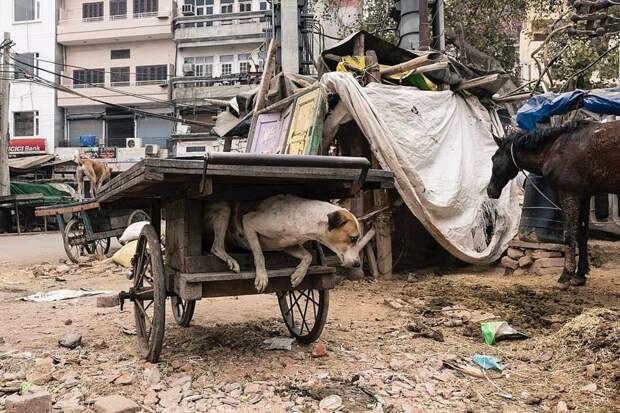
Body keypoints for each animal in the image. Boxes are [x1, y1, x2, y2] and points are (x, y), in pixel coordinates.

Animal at [486, 119, 620, 286]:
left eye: (494, 158)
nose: (490, 190)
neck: (557, 147)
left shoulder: (569, 194)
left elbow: (569, 235)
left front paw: (566, 275)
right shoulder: (584, 196)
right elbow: (582, 235)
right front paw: (579, 275)